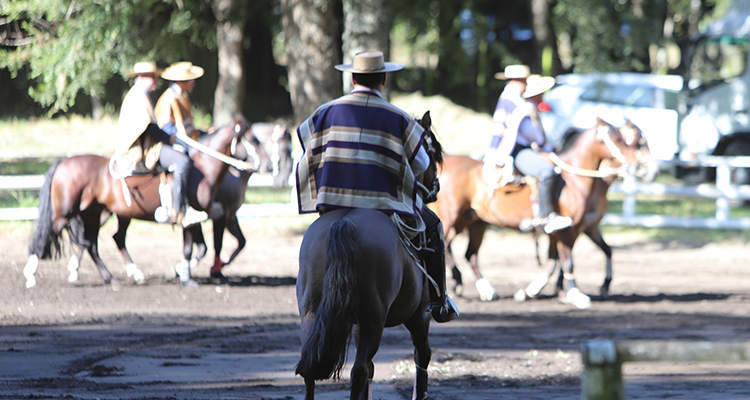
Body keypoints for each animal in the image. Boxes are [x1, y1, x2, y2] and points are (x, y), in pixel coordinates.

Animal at [23, 117, 253, 290]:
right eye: (252, 140)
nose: (259, 165)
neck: (203, 170)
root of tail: (63, 161)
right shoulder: (197, 218)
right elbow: (195, 248)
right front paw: (186, 276)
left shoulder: (205, 218)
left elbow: (204, 247)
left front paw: (184, 272)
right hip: (64, 214)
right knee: (46, 236)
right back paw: (32, 274)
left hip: (95, 214)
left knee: (95, 244)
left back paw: (113, 277)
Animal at [296, 111, 444, 400]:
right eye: (431, 152)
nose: (436, 188)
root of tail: (345, 221)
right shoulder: (419, 316)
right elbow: (422, 356)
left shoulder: (353, 323)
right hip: (374, 320)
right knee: (359, 370)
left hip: (311, 310)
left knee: (311, 368)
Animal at [432, 117, 644, 308]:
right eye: (617, 139)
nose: (636, 164)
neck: (573, 181)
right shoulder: (569, 230)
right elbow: (567, 262)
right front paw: (575, 294)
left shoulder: (574, 230)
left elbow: (559, 260)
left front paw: (538, 291)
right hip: (450, 218)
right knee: (447, 246)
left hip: (474, 222)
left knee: (470, 254)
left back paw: (485, 290)